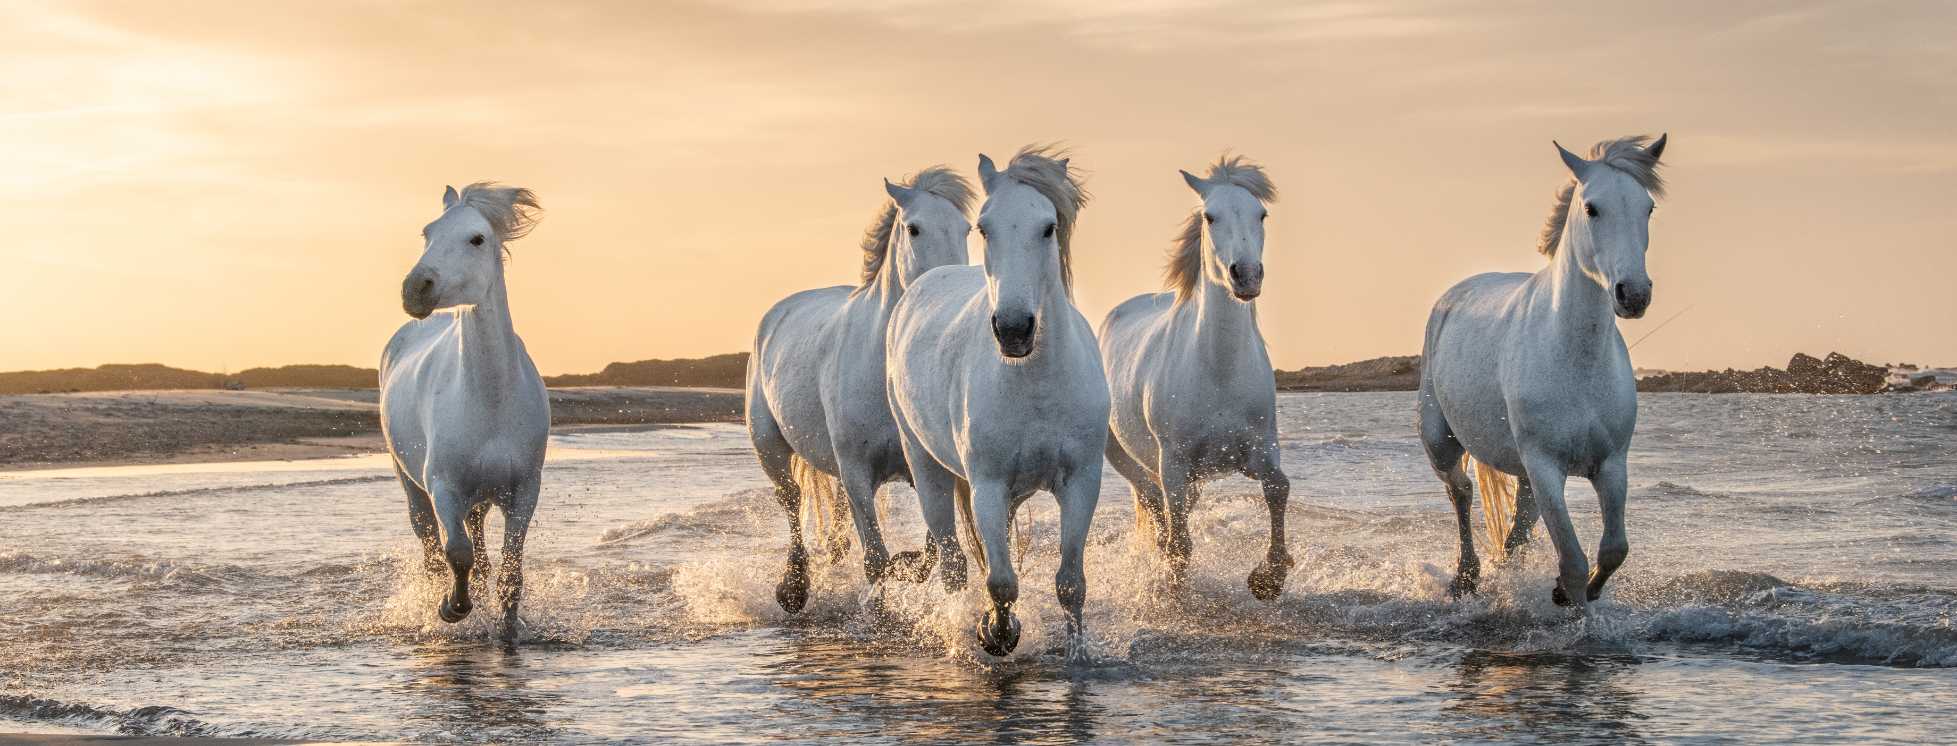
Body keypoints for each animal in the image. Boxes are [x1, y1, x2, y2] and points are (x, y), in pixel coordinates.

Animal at [380, 183, 550, 644]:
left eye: (476, 238)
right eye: (428, 233)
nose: (415, 289)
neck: (489, 400)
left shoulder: (524, 490)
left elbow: (510, 570)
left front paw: (508, 627)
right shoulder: (444, 487)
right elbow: (457, 553)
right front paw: (452, 608)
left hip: (480, 498)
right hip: (411, 485)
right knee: (430, 546)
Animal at [746, 167, 976, 613]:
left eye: (966, 229)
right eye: (914, 228)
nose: (949, 288)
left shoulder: (923, 467)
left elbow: (929, 550)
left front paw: (906, 566)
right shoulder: (856, 472)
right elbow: (875, 559)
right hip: (770, 448)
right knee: (791, 501)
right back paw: (793, 588)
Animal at [886, 146, 1106, 657]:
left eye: (1048, 227)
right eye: (984, 227)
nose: (1013, 329)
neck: (1036, 383)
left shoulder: (1081, 482)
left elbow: (1070, 582)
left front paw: (1078, 652)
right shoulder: (986, 484)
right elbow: (1001, 581)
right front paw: (997, 632)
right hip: (927, 469)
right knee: (953, 562)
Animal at [1100, 155, 1293, 600]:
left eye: (1261, 214)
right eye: (1210, 216)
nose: (1246, 275)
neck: (1218, 371)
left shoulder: (1260, 450)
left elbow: (1279, 488)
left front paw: (1269, 578)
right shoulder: (1173, 463)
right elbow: (1179, 544)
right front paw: (1174, 593)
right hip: (1130, 460)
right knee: (1157, 512)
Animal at [1417, 134, 1668, 614]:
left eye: (1648, 208)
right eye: (1592, 208)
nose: (1634, 294)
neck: (1574, 359)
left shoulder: (1611, 464)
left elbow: (1613, 549)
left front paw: (1574, 594)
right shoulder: (1545, 466)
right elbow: (1571, 560)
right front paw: (1574, 606)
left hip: (1523, 472)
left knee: (1516, 529)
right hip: (1442, 443)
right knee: (1461, 492)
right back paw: (1466, 578)